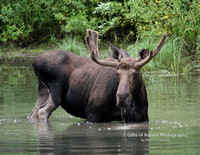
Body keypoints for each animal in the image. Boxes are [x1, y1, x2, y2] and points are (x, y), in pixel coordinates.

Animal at [27, 29, 166, 122]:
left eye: (136, 73)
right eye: (117, 74)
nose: (122, 97)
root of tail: (34, 62)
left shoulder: (142, 117)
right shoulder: (92, 113)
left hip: (43, 92)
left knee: (34, 112)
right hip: (55, 91)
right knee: (42, 111)